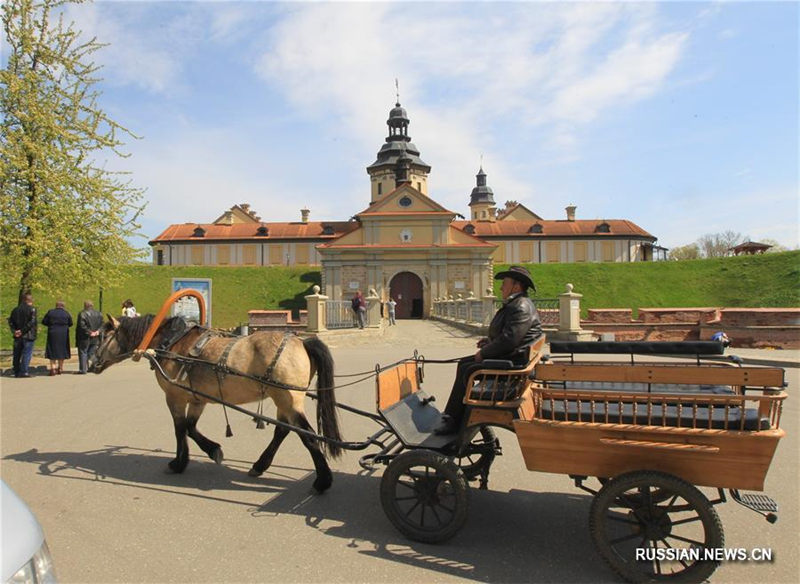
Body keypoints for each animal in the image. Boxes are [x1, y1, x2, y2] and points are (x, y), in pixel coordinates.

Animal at [92, 314, 342, 492]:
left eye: (103, 335)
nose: (93, 363)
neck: (171, 342)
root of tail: (303, 341)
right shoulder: (197, 399)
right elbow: (191, 428)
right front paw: (213, 450)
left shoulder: (174, 397)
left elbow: (179, 429)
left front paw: (179, 463)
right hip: (284, 401)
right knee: (283, 431)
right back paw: (260, 465)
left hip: (288, 400)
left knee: (309, 436)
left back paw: (323, 480)